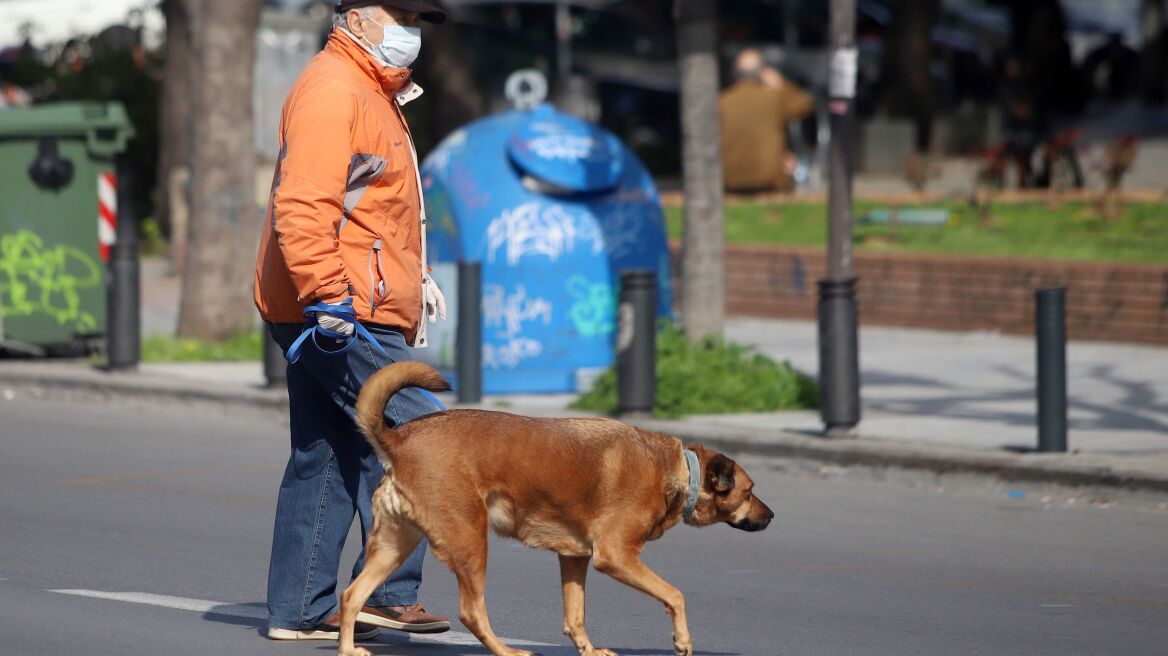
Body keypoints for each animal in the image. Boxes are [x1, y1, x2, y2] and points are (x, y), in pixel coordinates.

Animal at [338, 359, 775, 653]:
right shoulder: (616, 557)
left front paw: (589, 650)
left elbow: (575, 616)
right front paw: (682, 640)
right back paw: (507, 651)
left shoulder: (574, 557)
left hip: (395, 545)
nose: (771, 515)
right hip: (469, 541)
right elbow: (676, 594)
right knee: (472, 612)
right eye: (750, 490)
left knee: (352, 596)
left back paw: (347, 647)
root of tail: (401, 440)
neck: (678, 471)